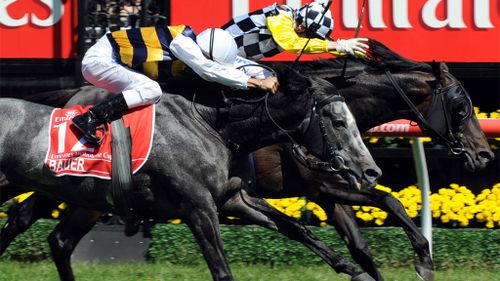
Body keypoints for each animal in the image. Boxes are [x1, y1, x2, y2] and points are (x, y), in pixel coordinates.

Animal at [0, 40, 492, 280]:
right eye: (461, 106)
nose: (484, 153)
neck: (219, 124)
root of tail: (76, 97)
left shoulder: (307, 191)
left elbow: (353, 243)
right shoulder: (321, 184)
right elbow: (386, 201)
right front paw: (423, 260)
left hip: (77, 192)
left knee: (50, 234)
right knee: (39, 228)